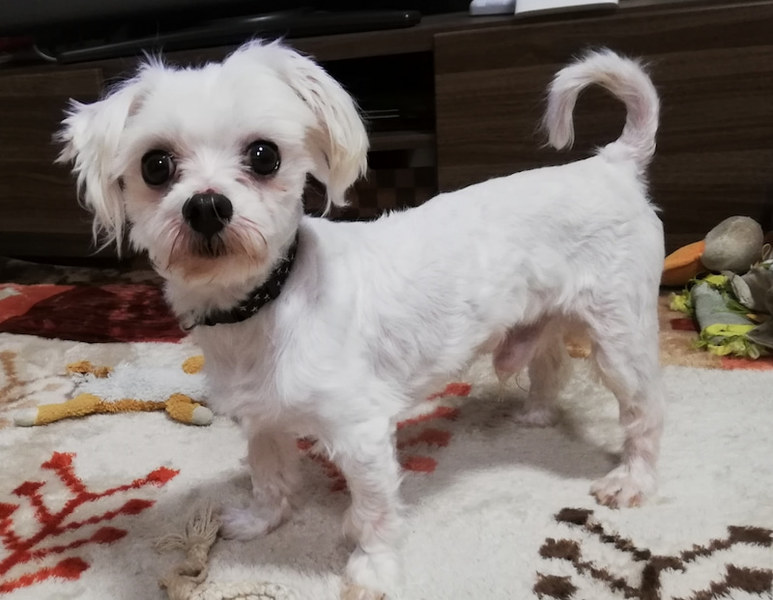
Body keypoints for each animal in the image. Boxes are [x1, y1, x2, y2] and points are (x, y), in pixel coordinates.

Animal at [58, 41, 665, 598]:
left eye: (264, 156)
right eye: (155, 165)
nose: (207, 206)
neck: (266, 304)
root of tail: (610, 164)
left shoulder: (361, 432)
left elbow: (374, 508)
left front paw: (371, 568)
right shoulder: (262, 417)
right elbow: (268, 473)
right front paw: (260, 520)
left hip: (619, 334)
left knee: (644, 413)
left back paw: (633, 479)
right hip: (547, 314)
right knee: (550, 361)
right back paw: (537, 412)